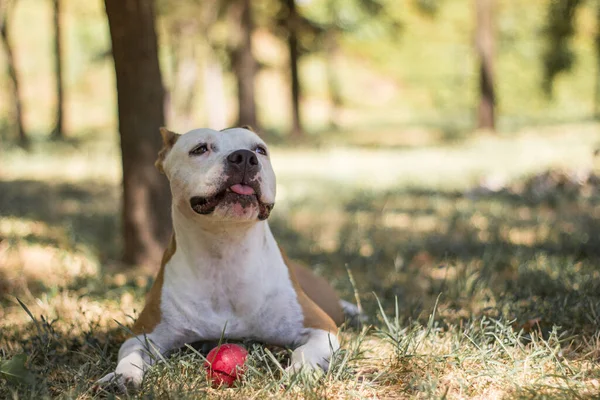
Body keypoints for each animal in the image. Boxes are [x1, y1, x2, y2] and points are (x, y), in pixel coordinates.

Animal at [96, 126, 354, 390]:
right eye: (200, 149)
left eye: (260, 150)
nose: (244, 157)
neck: (226, 250)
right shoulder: (144, 334)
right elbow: (131, 355)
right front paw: (121, 376)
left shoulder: (321, 327)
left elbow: (306, 351)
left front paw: (302, 372)